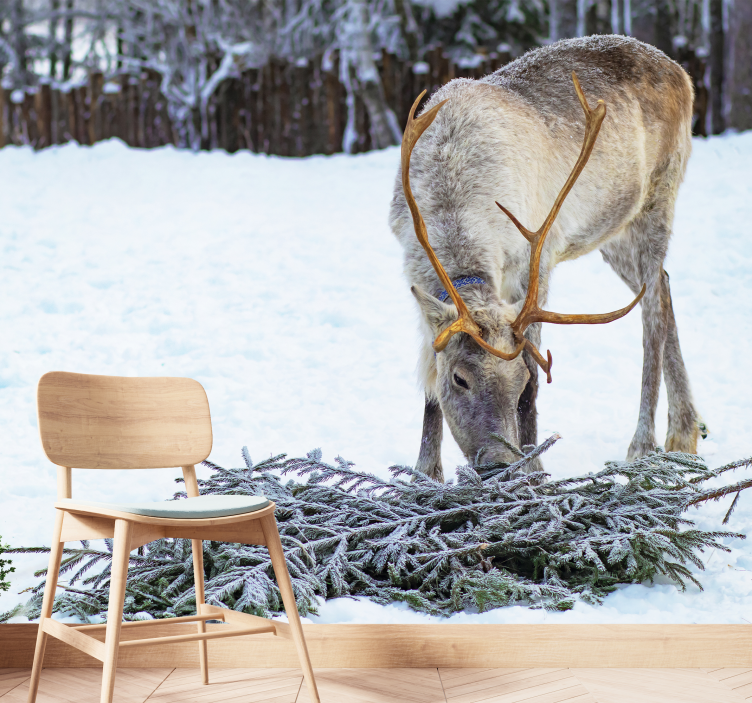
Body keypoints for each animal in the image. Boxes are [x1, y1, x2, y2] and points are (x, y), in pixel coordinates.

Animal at [388, 35, 704, 482]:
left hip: (658, 200)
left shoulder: (534, 262)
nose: (498, 464)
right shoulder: (413, 266)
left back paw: (643, 445)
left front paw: (534, 467)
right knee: (663, 285)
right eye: (460, 378)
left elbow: (538, 365)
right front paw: (425, 473)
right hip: (612, 232)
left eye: (520, 382)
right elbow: (427, 377)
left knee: (653, 315)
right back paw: (685, 432)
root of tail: (682, 73)